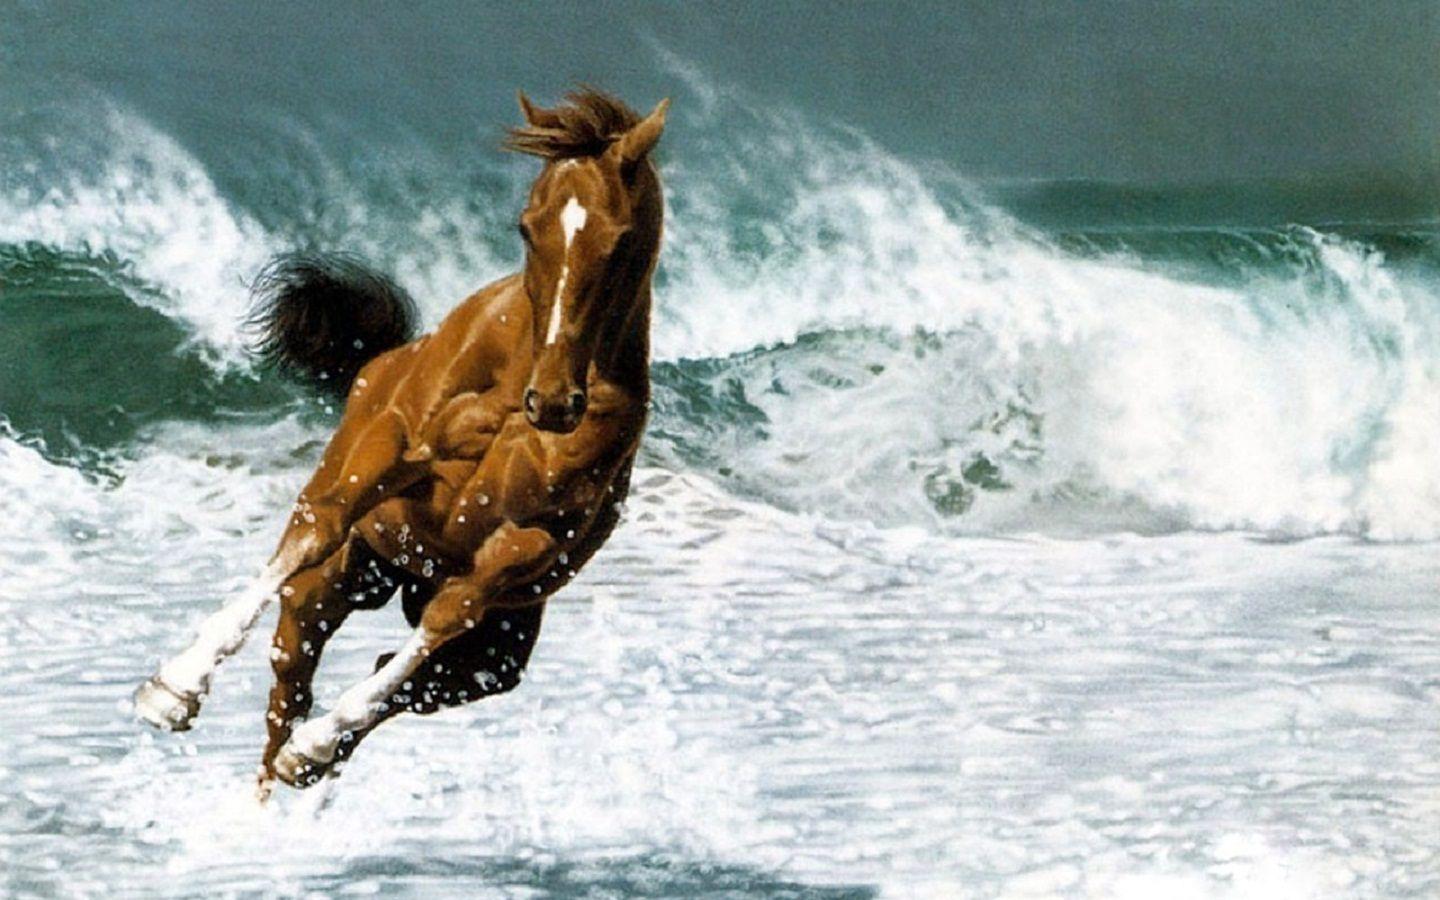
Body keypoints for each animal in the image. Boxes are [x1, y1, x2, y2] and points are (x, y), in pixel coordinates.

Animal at [133, 88, 669, 797]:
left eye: (621, 240)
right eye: (527, 227)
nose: (553, 404)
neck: (517, 373)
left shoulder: (526, 543)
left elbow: (445, 619)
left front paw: (314, 746)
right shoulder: (396, 445)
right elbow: (322, 525)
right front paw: (173, 690)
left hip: (494, 653)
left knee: (398, 681)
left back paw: (309, 758)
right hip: (340, 579)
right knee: (291, 672)